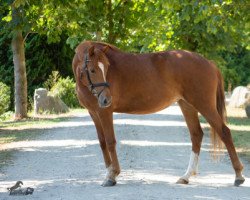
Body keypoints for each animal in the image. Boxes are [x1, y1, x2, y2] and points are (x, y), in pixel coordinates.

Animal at [72, 41, 244, 187]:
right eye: (93, 70)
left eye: (107, 67)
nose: (106, 99)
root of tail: (209, 63)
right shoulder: (94, 113)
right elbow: (102, 143)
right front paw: (109, 173)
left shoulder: (105, 112)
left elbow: (110, 142)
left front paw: (112, 176)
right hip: (187, 105)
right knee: (196, 135)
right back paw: (186, 176)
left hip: (204, 105)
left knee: (224, 132)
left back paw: (238, 176)